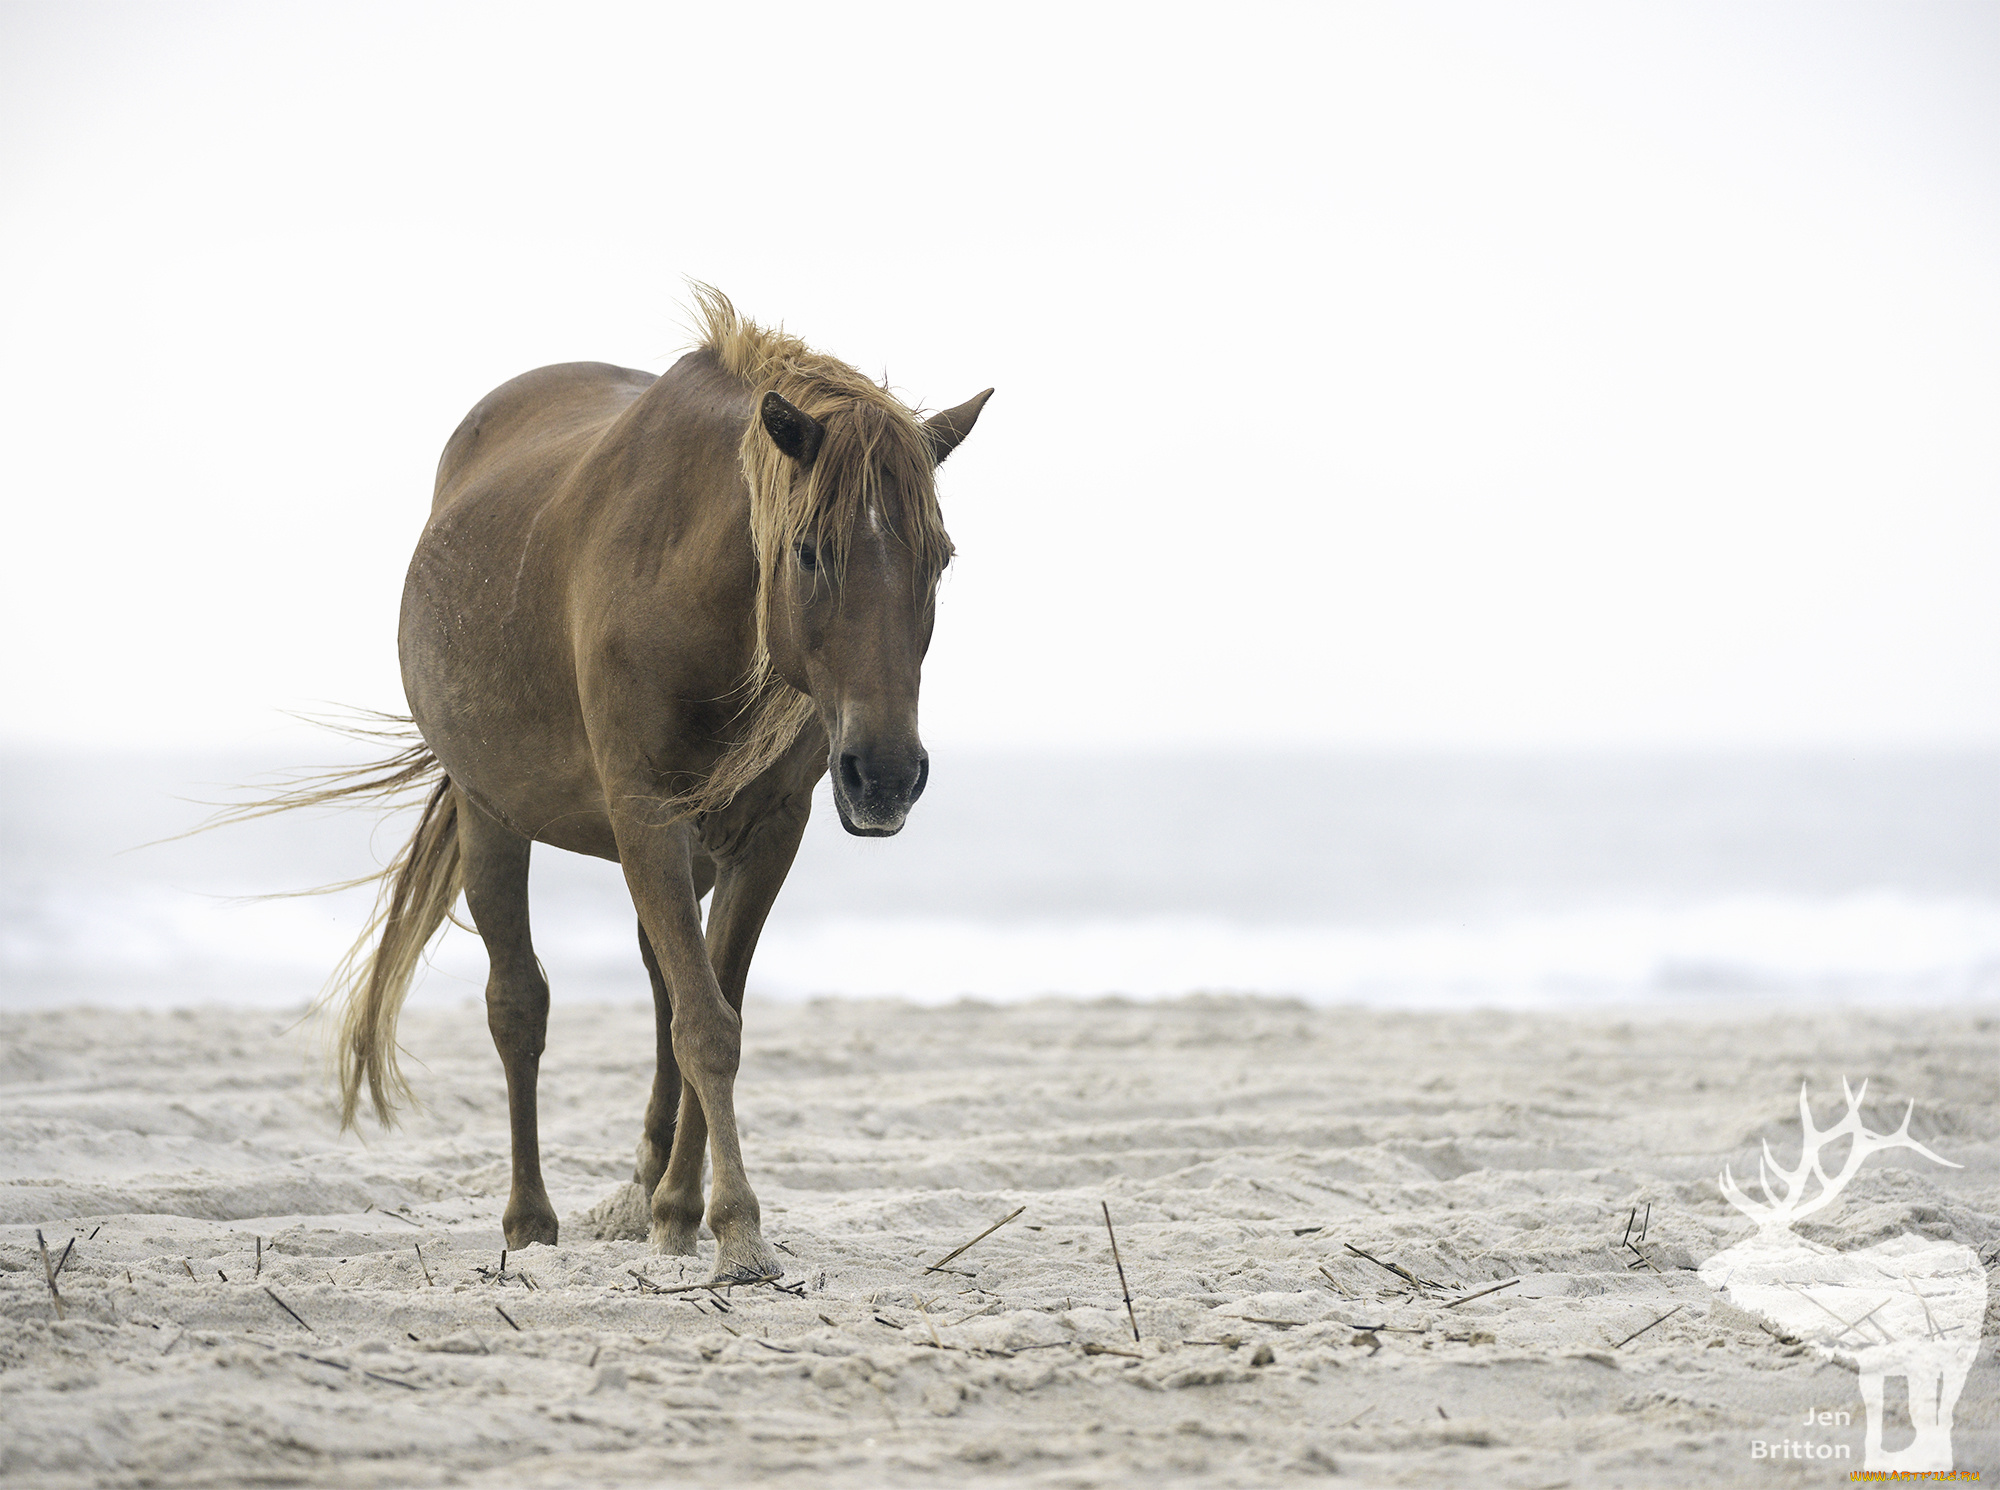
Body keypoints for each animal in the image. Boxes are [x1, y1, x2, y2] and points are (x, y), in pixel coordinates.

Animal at [290, 290, 992, 1280]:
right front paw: (737, 1227)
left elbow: (709, 1009)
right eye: (808, 551)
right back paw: (530, 1219)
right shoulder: (645, 816)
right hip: (491, 812)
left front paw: (685, 1210)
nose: (887, 774)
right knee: (519, 1006)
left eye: (941, 557)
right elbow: (706, 1027)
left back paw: (655, 1188)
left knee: (661, 984)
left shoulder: (768, 830)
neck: (695, 592)